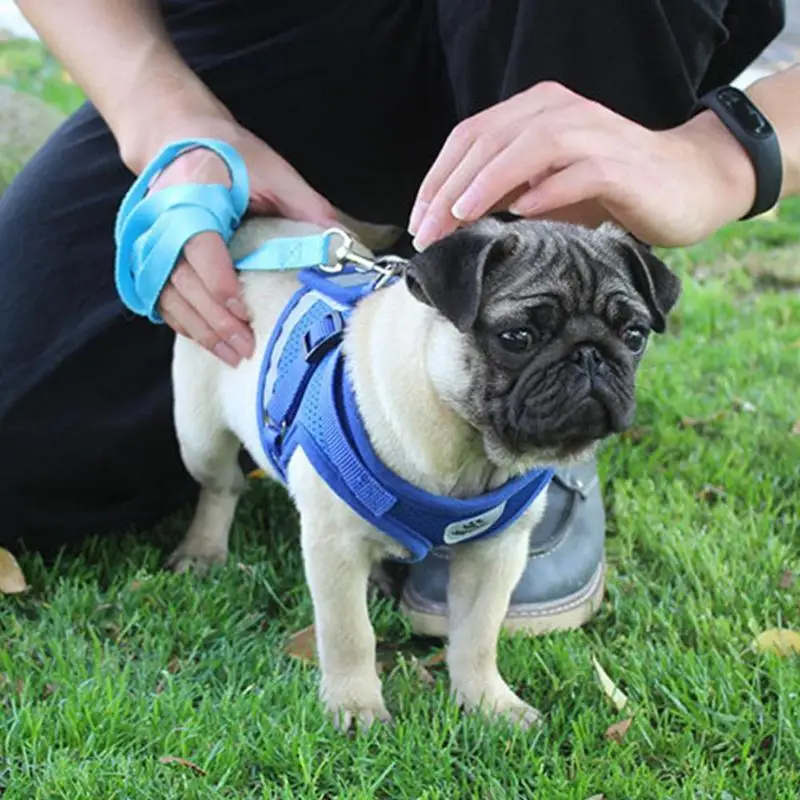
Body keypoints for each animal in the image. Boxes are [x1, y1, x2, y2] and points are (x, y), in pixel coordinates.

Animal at [169, 212, 680, 732]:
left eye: (635, 336)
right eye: (518, 338)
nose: (590, 354)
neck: (470, 453)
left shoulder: (496, 554)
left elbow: (477, 636)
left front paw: (489, 702)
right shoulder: (334, 546)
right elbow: (349, 633)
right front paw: (356, 705)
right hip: (199, 435)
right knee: (221, 486)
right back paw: (203, 551)